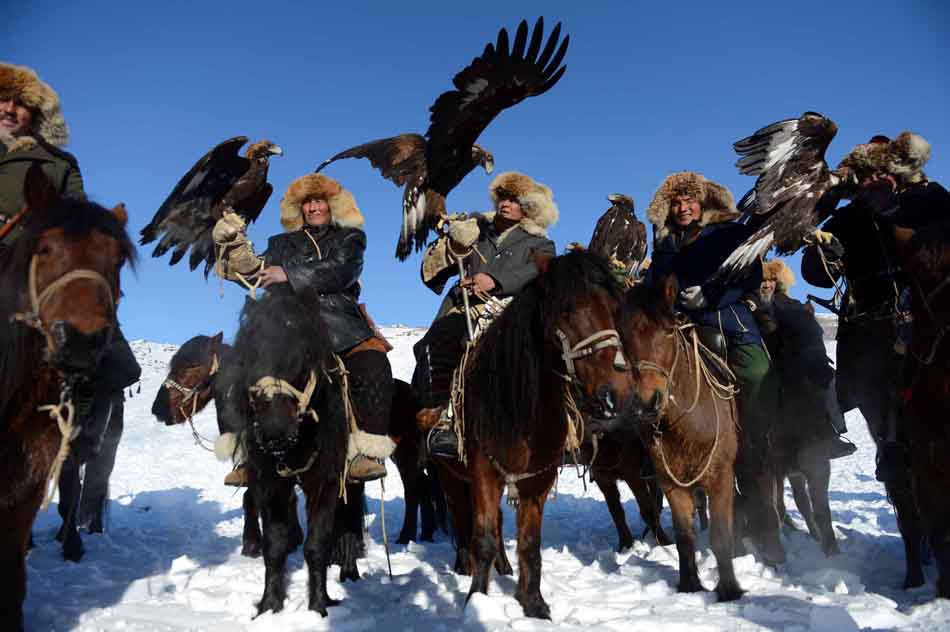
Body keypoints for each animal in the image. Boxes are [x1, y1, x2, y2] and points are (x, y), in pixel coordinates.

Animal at [436, 249, 632, 620]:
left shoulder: (536, 479)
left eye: (614, 307)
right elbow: (483, 537)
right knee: (460, 520)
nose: (615, 394)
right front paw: (475, 602)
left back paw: (503, 567)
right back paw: (463, 565)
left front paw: (533, 603)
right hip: (451, 478)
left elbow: (529, 544)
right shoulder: (483, 470)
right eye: (566, 309)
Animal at [620, 276, 748, 604]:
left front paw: (729, 589)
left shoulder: (721, 477)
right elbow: (684, 535)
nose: (647, 402)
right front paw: (690, 584)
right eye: (623, 337)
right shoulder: (671, 484)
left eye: (667, 330)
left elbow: (720, 534)